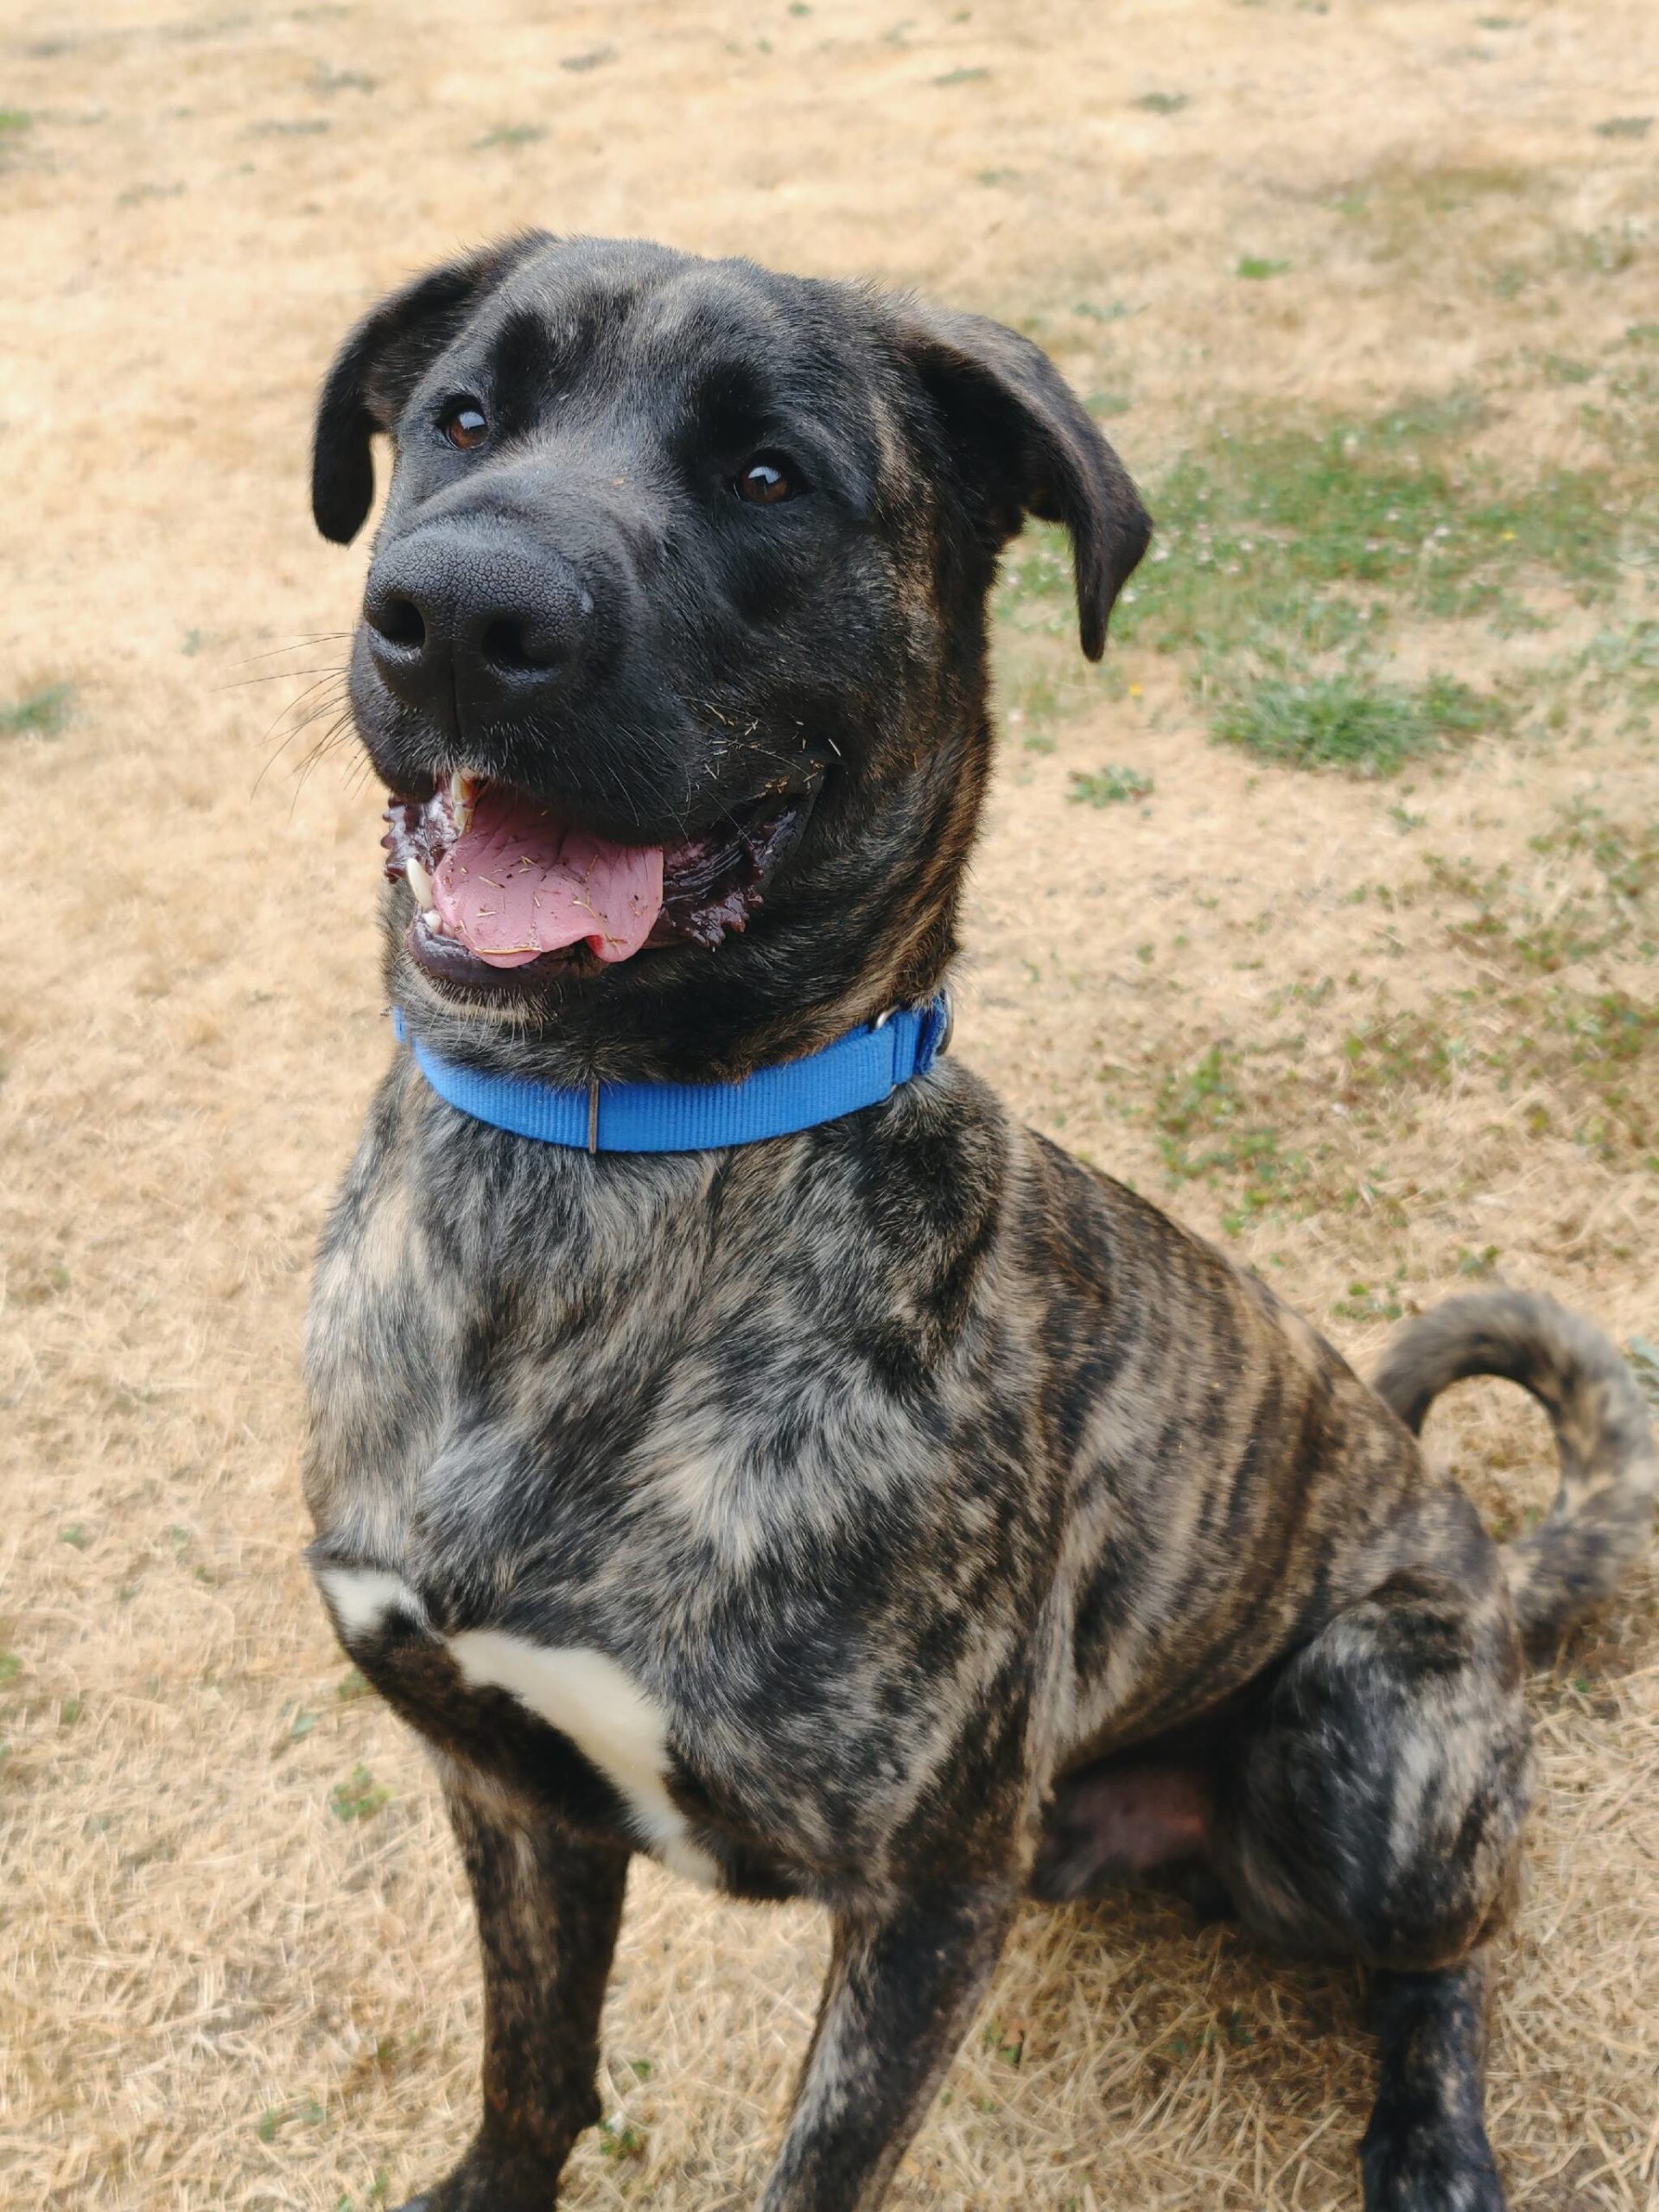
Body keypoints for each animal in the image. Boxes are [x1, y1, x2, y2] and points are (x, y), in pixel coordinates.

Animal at [305, 233, 1654, 2202]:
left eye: (770, 475)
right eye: (463, 420)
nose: (464, 613)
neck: (598, 1177)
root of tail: (1480, 1560)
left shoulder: (929, 1896)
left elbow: (815, 2168)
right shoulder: (502, 1778)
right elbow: (529, 2068)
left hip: (1367, 1760)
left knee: (1449, 1950)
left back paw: (1431, 2137)